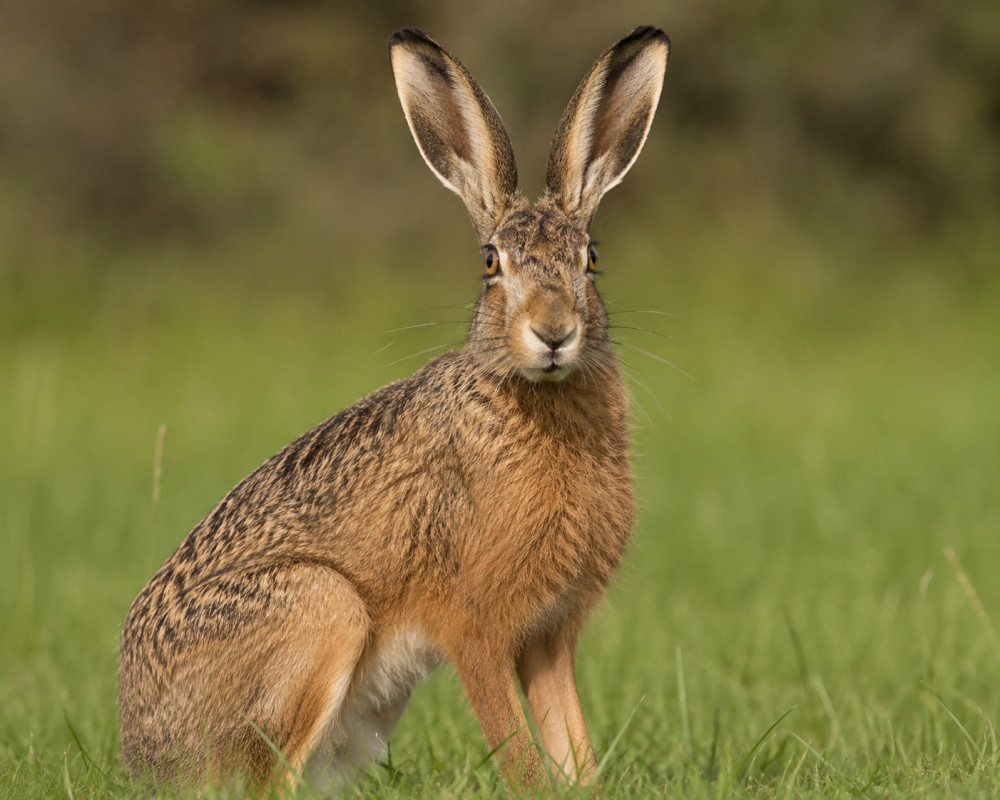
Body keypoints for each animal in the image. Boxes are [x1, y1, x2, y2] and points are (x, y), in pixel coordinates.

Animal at [119, 25, 669, 794]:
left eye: (591, 259)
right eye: (491, 263)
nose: (555, 332)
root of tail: (144, 752)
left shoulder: (549, 636)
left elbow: (571, 746)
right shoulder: (475, 627)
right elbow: (519, 750)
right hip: (321, 608)